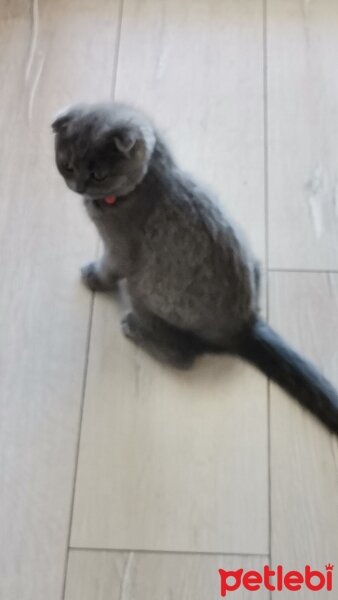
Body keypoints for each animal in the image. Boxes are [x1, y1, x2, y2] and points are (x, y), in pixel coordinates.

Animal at [52, 101, 338, 434]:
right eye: (67, 165)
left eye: (98, 174)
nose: (77, 185)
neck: (149, 175)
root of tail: (244, 327)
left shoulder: (120, 250)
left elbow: (109, 267)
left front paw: (93, 278)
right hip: (253, 262)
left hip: (142, 287)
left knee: (183, 356)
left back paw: (134, 330)